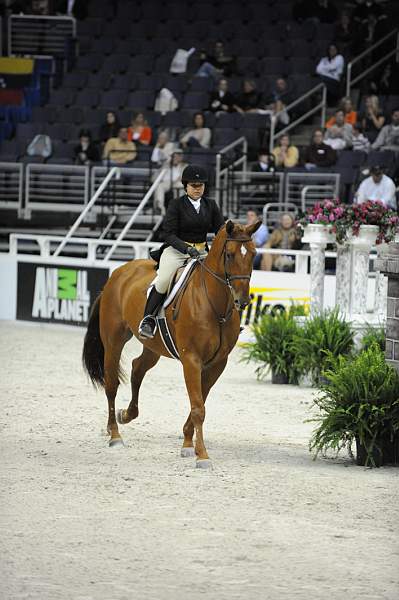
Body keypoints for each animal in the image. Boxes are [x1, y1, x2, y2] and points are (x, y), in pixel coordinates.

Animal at [82, 220, 260, 468]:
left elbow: (200, 401)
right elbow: (198, 407)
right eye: (230, 254)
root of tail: (117, 273)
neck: (214, 304)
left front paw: (187, 444)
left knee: (137, 369)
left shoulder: (217, 364)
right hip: (114, 341)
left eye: (253, 254)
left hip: (153, 347)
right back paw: (115, 434)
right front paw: (202, 455)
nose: (242, 301)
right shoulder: (191, 359)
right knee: (111, 384)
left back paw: (125, 415)